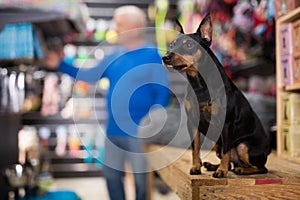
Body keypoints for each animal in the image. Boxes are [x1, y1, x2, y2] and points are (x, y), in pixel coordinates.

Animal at [163, 13, 270, 177]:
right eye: (171, 45)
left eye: (189, 45)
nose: (165, 57)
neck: (199, 84)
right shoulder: (193, 122)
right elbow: (195, 148)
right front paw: (196, 167)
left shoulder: (226, 123)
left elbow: (226, 150)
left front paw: (221, 171)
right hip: (215, 143)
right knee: (231, 161)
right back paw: (213, 165)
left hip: (243, 146)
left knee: (260, 167)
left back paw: (241, 169)